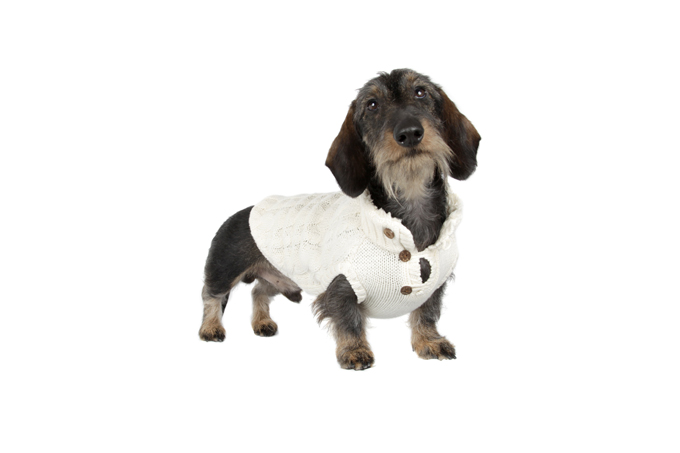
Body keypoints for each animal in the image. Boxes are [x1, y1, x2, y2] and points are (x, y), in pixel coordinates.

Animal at [199, 69, 480, 370]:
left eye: (420, 92)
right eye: (372, 104)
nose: (409, 133)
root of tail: (244, 212)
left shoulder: (435, 286)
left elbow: (427, 313)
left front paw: (429, 341)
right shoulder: (342, 286)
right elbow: (349, 320)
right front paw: (354, 350)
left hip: (278, 276)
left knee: (259, 292)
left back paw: (262, 322)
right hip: (223, 269)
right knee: (211, 295)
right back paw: (211, 327)